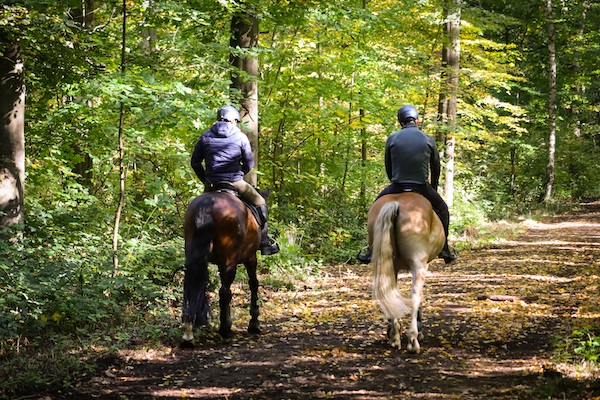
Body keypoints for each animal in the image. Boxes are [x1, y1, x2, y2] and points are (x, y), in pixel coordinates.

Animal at [179, 191, 262, 344]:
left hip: (194, 254)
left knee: (193, 284)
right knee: (224, 292)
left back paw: (189, 332)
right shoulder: (251, 257)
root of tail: (208, 202)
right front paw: (254, 323)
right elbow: (253, 283)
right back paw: (225, 328)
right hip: (230, 259)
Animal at [366, 192, 446, 352]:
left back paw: (395, 337)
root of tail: (395, 203)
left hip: (388, 263)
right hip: (418, 263)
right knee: (415, 294)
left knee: (389, 291)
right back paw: (413, 340)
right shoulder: (424, 265)